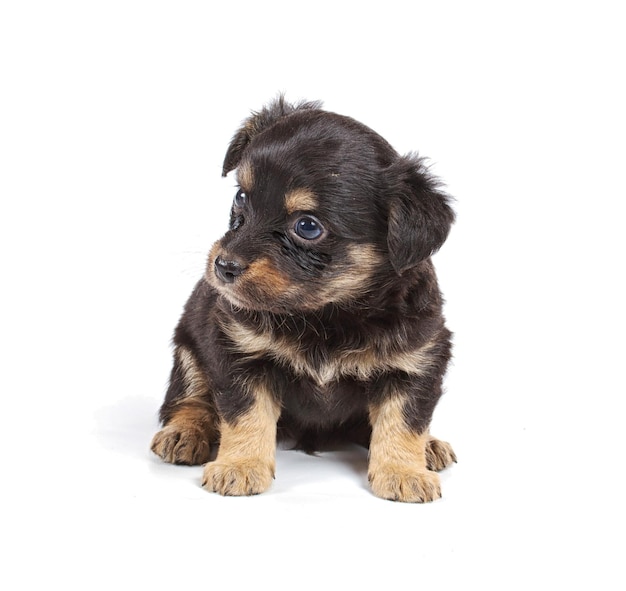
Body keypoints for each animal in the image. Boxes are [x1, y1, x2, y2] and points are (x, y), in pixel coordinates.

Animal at [151, 98, 454, 504]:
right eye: (241, 197)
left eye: (307, 227)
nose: (224, 265)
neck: (326, 314)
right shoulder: (237, 352)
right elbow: (246, 413)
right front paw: (240, 465)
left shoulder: (416, 362)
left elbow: (404, 420)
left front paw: (404, 471)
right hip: (188, 348)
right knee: (189, 398)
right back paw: (186, 432)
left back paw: (429, 447)